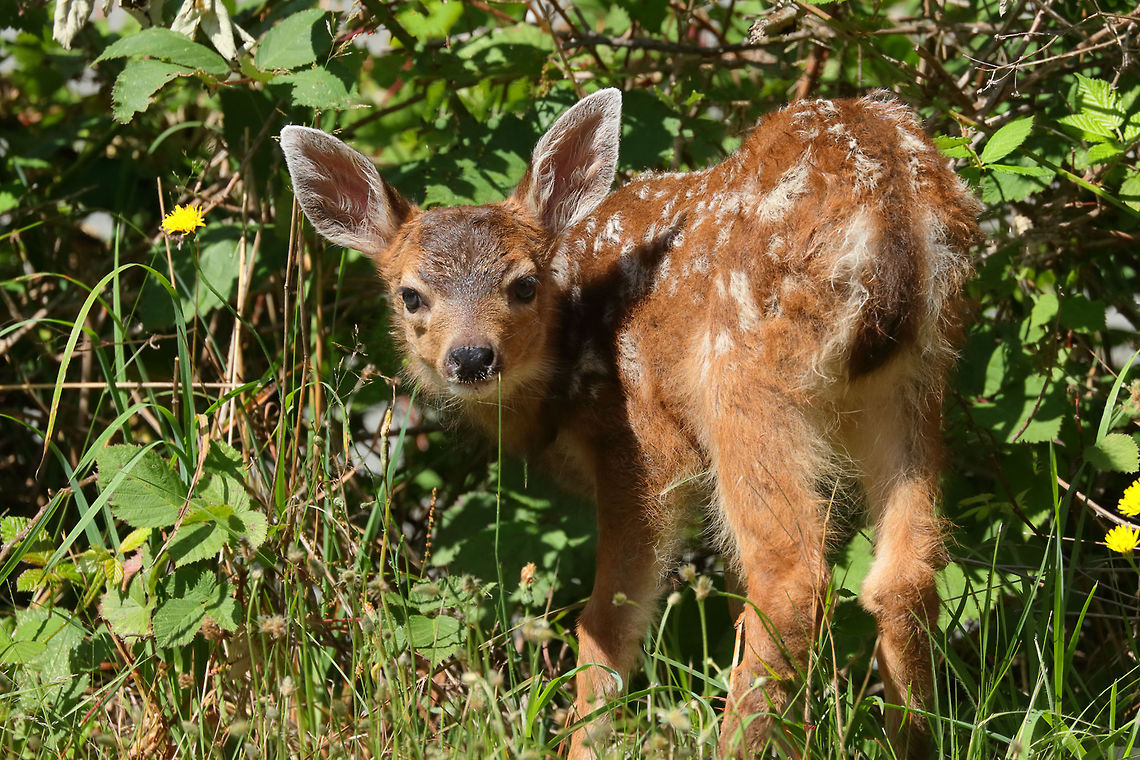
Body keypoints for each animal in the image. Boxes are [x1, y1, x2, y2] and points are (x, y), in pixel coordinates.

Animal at [279, 87, 981, 759]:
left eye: (524, 285)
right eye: (411, 295)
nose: (472, 357)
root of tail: (890, 201)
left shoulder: (636, 447)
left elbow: (607, 624)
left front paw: (586, 741)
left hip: (741, 376)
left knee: (791, 574)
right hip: (915, 379)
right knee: (905, 575)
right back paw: (911, 738)